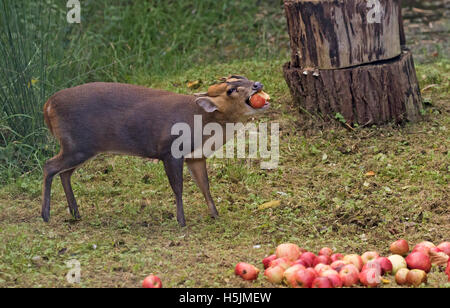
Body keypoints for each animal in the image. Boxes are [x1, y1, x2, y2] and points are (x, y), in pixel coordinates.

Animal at [41, 76, 268, 227]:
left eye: (240, 76)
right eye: (230, 90)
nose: (257, 84)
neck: (203, 122)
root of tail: (47, 105)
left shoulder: (195, 156)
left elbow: (205, 186)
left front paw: (215, 215)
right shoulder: (169, 149)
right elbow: (178, 188)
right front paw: (181, 221)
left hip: (81, 147)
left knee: (64, 172)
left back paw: (75, 213)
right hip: (77, 144)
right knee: (49, 166)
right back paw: (46, 215)